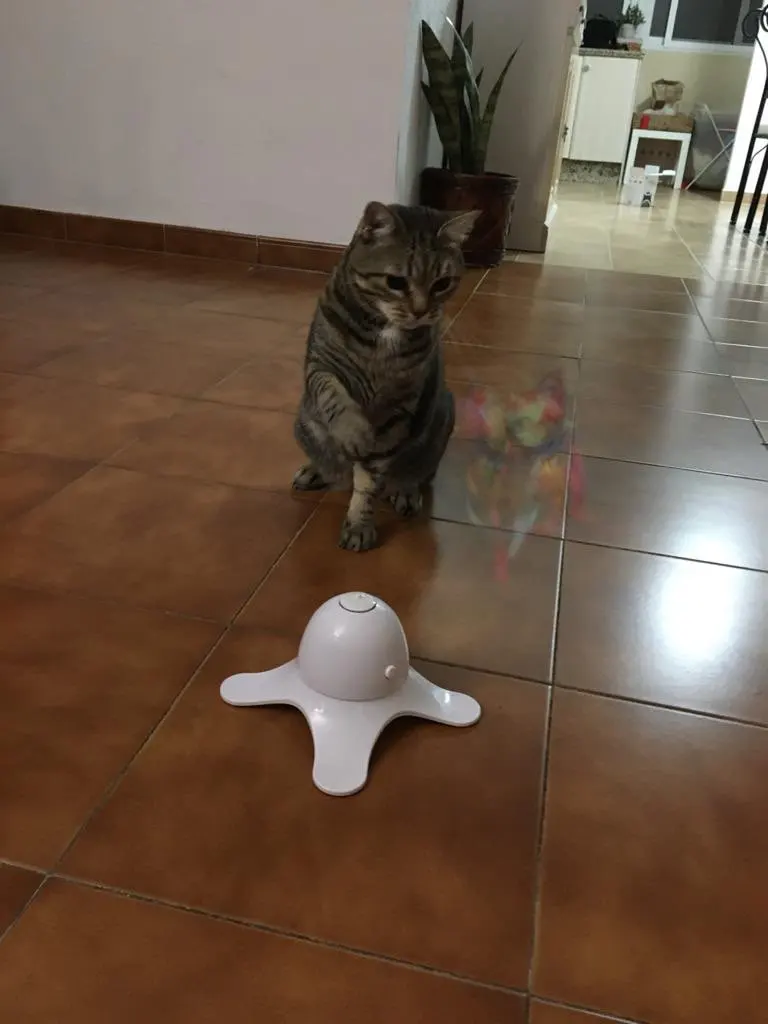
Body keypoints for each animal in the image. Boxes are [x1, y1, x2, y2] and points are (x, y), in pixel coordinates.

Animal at [292, 200, 479, 552]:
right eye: (396, 282)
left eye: (442, 284)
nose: (421, 311)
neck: (384, 333)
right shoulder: (321, 365)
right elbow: (333, 395)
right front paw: (353, 432)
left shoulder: (397, 407)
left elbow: (369, 479)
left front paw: (359, 524)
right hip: (304, 424)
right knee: (330, 461)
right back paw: (317, 471)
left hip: (440, 420)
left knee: (414, 474)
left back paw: (405, 492)